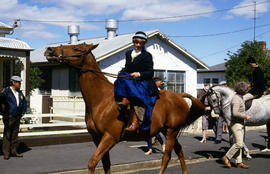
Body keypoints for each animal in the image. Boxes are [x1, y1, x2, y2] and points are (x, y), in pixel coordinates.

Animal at [44, 42, 205, 174]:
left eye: (76, 48)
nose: (49, 50)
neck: (102, 99)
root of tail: (179, 96)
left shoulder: (110, 137)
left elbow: (92, 163)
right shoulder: (98, 138)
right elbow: (106, 164)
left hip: (172, 131)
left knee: (167, 157)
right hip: (168, 131)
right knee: (179, 151)